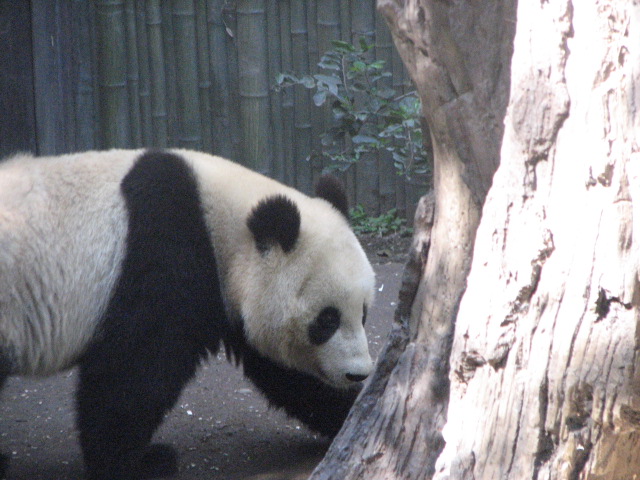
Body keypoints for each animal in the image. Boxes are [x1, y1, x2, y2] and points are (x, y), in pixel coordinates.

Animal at [0, 149, 375, 480]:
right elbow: (134, 367)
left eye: (364, 314)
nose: (357, 373)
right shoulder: (163, 247)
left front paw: (351, 415)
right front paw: (134, 463)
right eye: (327, 320)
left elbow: (286, 374)